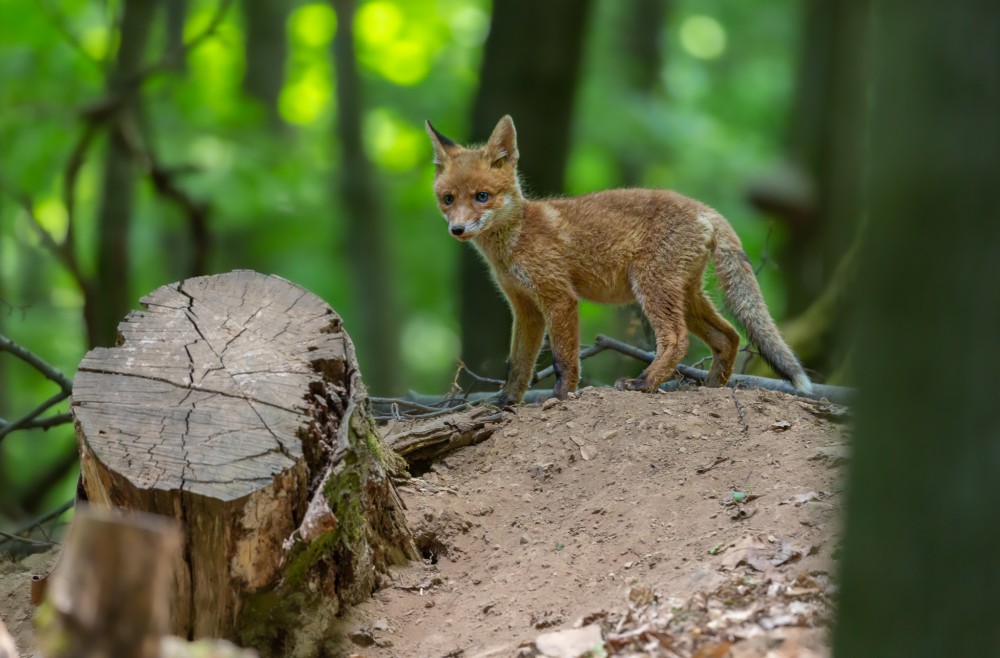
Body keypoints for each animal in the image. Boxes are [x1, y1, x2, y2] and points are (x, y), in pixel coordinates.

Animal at [424, 115, 812, 402]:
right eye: (448, 199)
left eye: (482, 196)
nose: (457, 229)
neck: (514, 241)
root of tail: (704, 208)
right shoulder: (525, 307)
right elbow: (518, 365)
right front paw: (505, 403)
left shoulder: (559, 298)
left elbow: (563, 359)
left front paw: (562, 396)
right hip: (687, 295)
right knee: (728, 336)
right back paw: (712, 386)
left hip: (653, 288)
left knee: (677, 339)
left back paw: (645, 383)